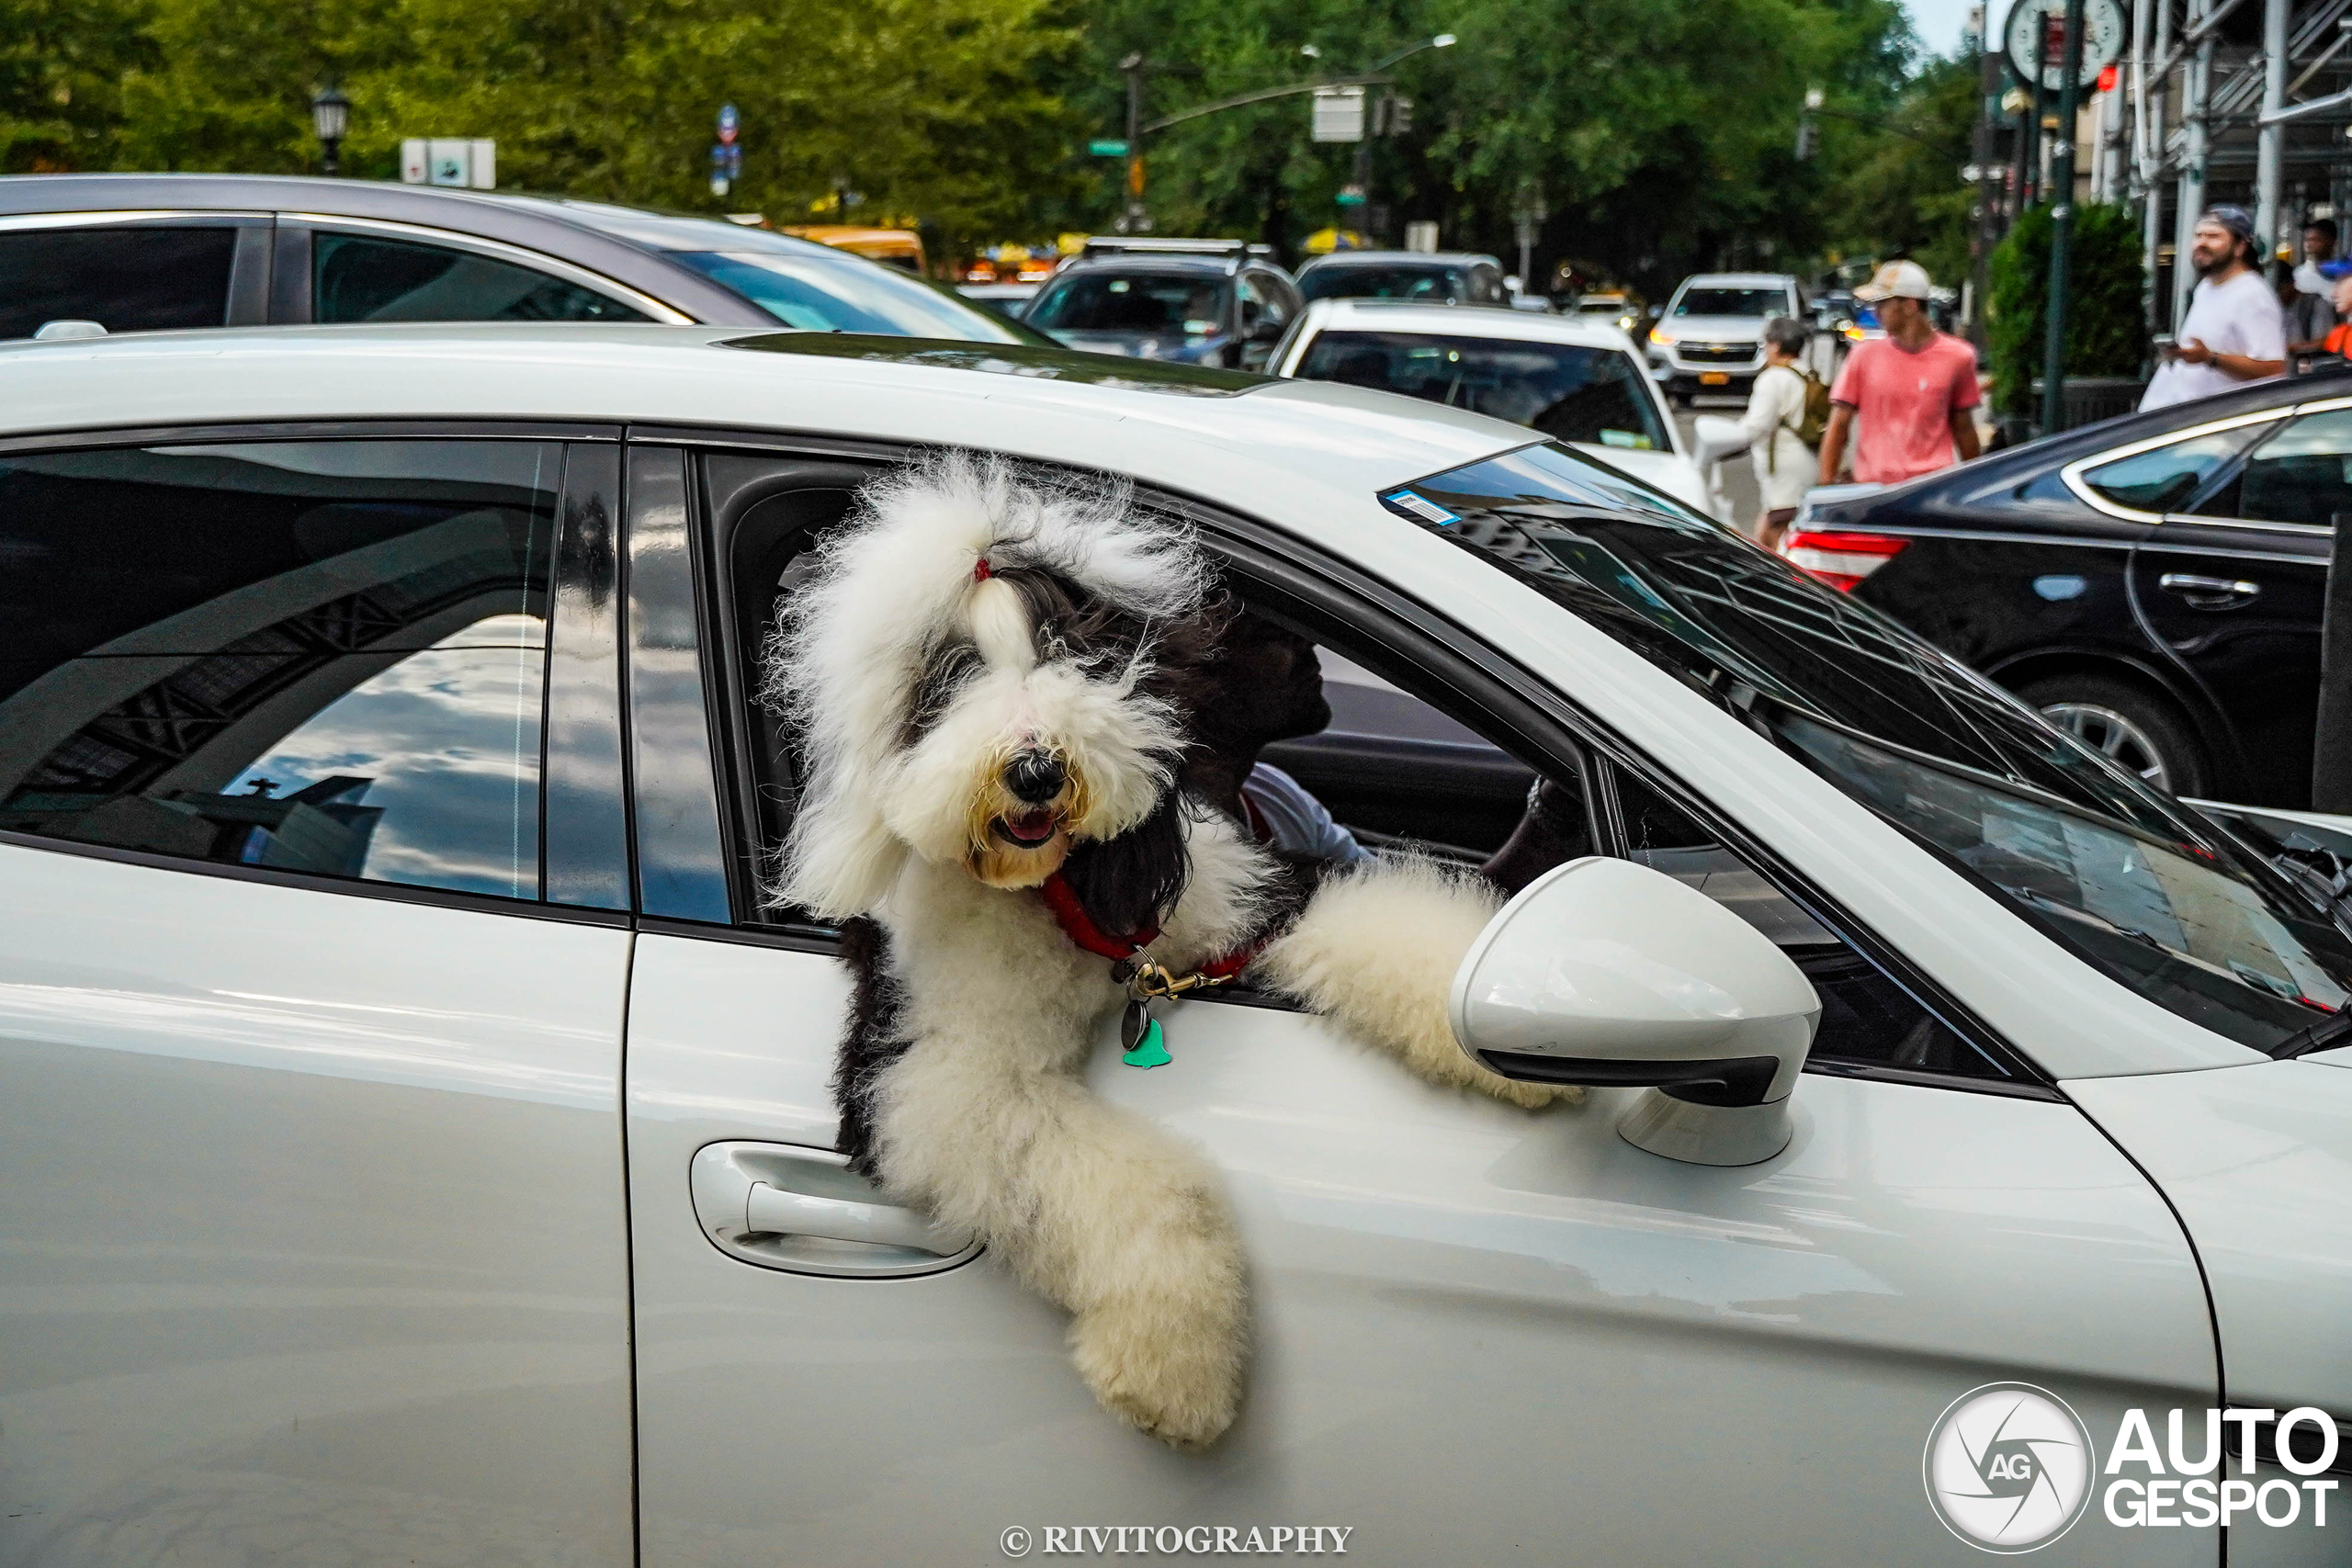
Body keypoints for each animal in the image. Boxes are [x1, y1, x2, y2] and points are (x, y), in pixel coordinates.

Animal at [771, 451, 1561, 1448]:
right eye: (950, 678)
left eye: (1071, 654)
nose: (1036, 770)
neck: (1054, 894)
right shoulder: (936, 1073)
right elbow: (1150, 1188)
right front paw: (1173, 1372)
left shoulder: (1242, 902)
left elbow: (1371, 921)